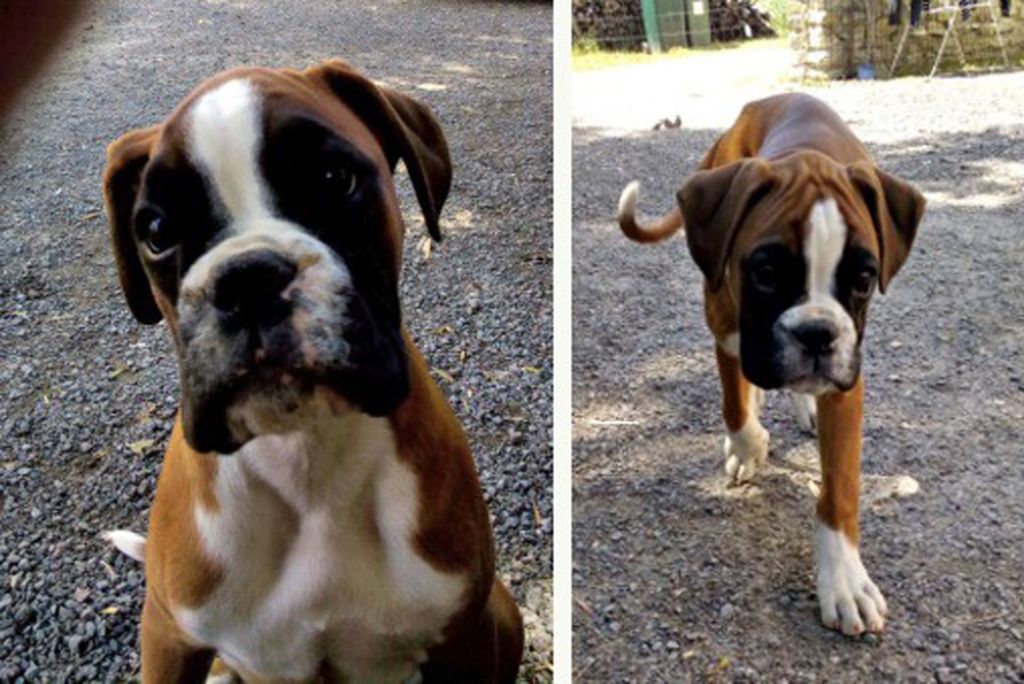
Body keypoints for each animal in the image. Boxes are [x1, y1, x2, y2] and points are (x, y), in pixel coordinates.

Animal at [101, 59, 523, 682]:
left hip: (502, 612)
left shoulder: (465, 635)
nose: (246, 279)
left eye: (333, 178)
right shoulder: (168, 639)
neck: (307, 457)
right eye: (156, 232)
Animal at [617, 93, 925, 636]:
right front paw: (750, 445)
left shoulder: (847, 379)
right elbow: (734, 405)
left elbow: (840, 486)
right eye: (764, 273)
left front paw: (844, 580)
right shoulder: (727, 331)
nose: (817, 333)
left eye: (864, 280)